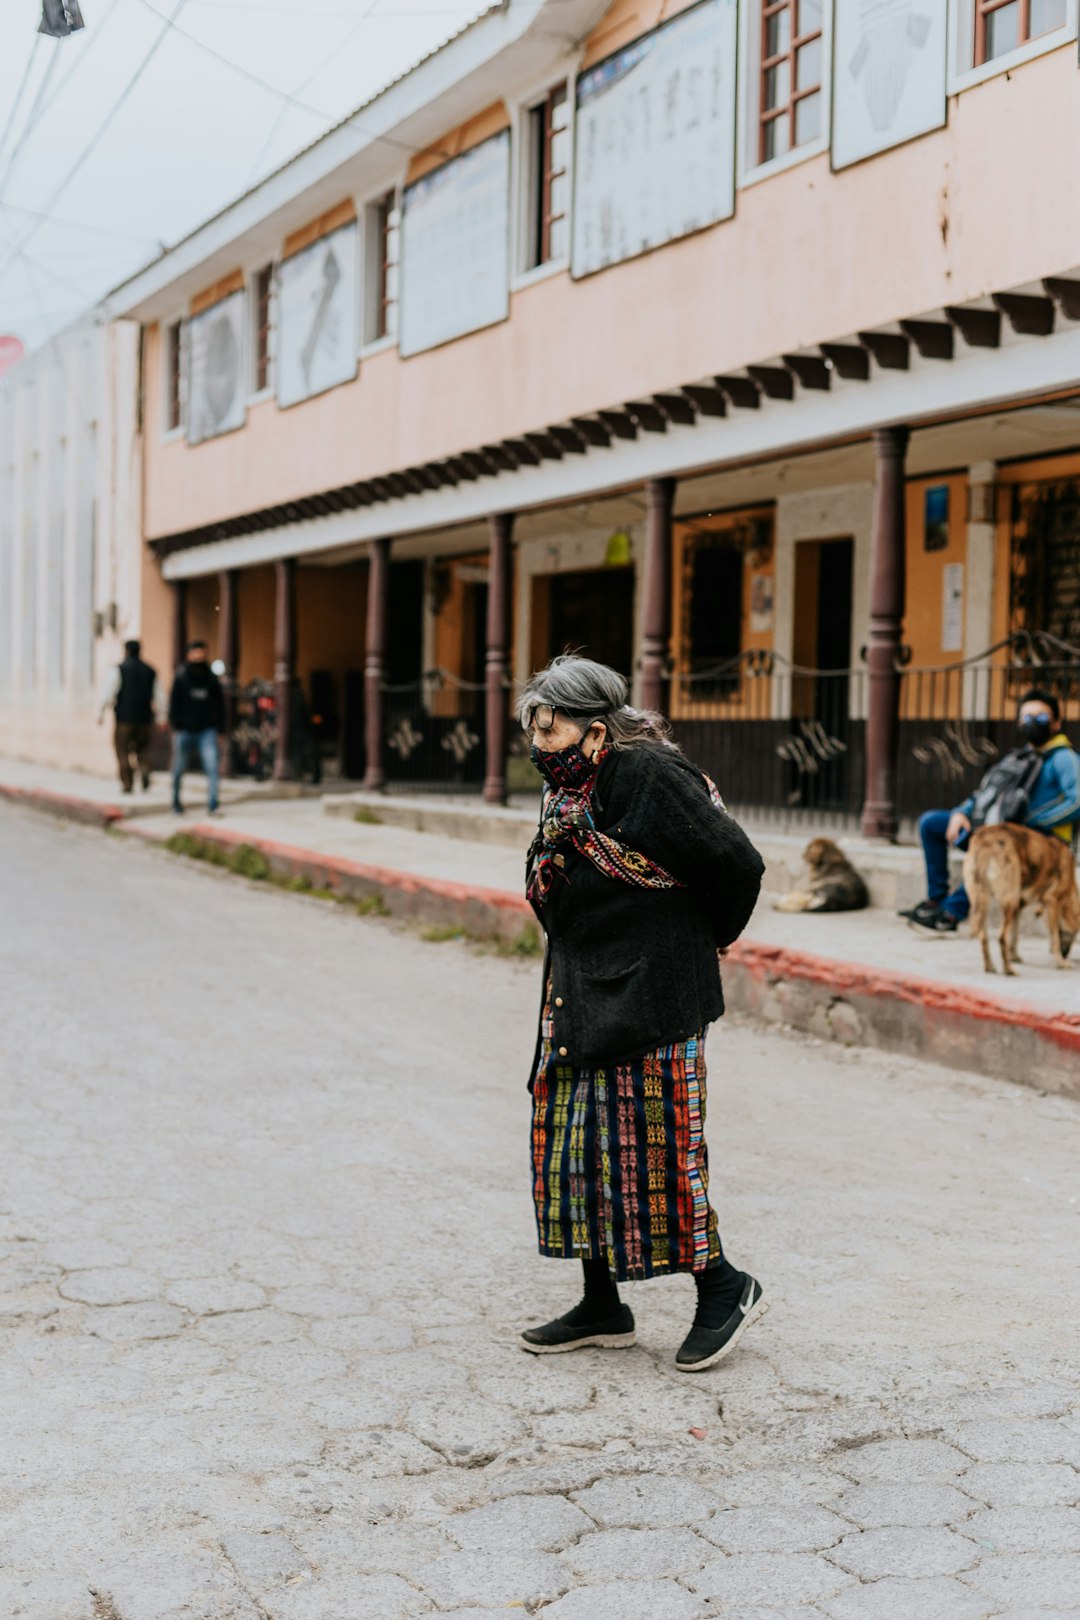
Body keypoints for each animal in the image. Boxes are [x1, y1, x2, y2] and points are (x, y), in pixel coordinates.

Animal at [965, 822, 1080, 972]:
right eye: (1074, 934)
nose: (1065, 954)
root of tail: (985, 836)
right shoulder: (1053, 902)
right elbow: (1054, 937)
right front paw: (1061, 963)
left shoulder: (1019, 905)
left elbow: (1015, 934)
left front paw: (1014, 956)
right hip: (1009, 900)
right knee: (1001, 937)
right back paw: (1009, 970)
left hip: (984, 902)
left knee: (983, 936)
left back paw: (990, 966)